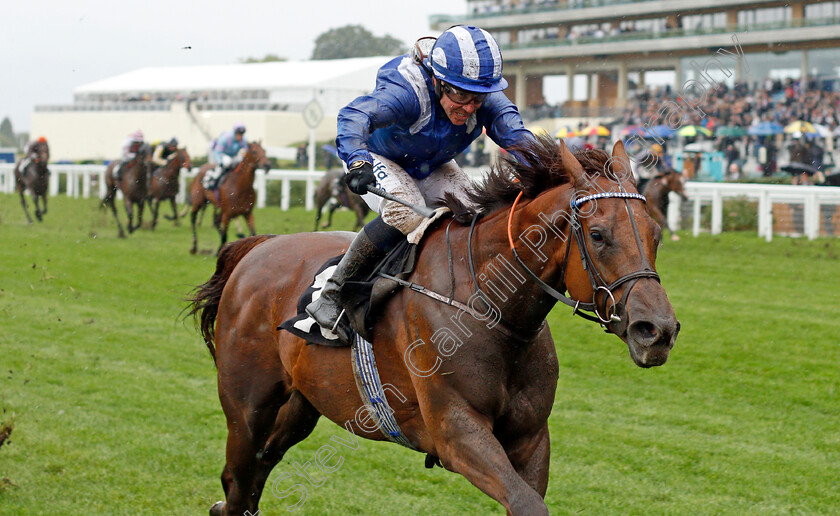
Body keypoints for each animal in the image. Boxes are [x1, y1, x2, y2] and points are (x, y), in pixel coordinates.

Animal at [187, 137, 680, 516]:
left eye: (655, 234)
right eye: (597, 235)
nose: (657, 331)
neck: (487, 304)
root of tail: (258, 248)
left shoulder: (530, 437)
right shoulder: (456, 433)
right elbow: (526, 503)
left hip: (301, 403)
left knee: (257, 473)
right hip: (247, 406)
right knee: (238, 481)